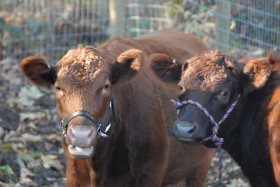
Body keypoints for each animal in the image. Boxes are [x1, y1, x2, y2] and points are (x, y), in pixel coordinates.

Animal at [20, 28, 213, 186]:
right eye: (58, 88)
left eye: (106, 86)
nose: (81, 135)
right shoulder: (73, 174)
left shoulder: (150, 173)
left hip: (199, 167)